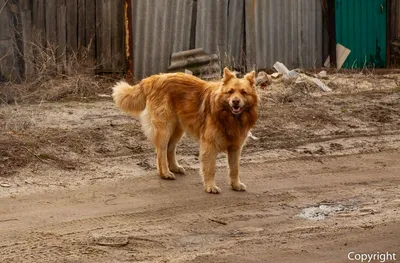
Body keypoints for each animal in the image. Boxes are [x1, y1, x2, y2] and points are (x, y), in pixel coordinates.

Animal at [111, 68, 260, 194]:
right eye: (230, 91)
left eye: (243, 92)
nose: (235, 102)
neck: (228, 116)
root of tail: (155, 78)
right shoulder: (209, 146)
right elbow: (210, 169)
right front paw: (210, 186)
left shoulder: (235, 148)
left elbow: (235, 169)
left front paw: (236, 185)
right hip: (165, 128)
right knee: (161, 151)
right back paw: (165, 173)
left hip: (177, 129)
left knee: (170, 149)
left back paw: (174, 168)